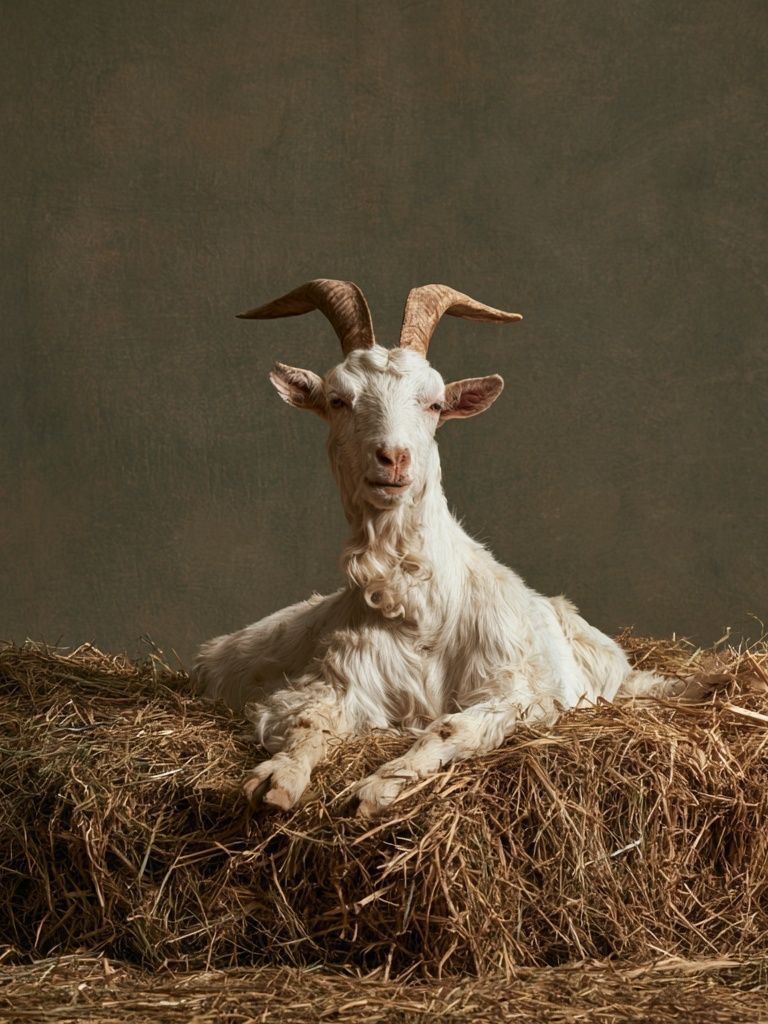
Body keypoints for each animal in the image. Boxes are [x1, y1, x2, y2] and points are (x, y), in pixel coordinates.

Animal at [193, 279, 686, 817]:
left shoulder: (517, 690)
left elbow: (453, 726)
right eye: (339, 400)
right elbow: (307, 720)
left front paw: (377, 786)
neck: (418, 607)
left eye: (432, 403)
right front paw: (276, 778)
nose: (393, 457)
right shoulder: (331, 682)